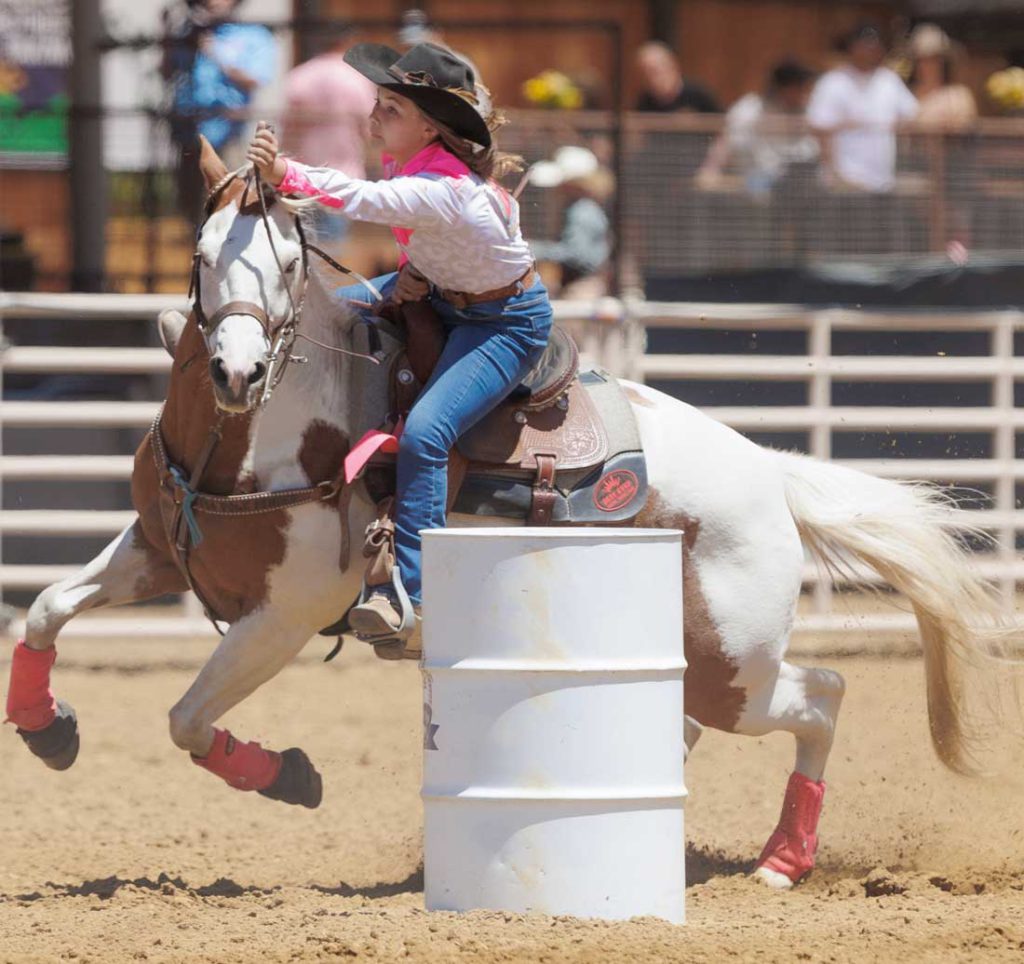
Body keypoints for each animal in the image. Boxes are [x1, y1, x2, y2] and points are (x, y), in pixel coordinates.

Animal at [6, 139, 1015, 893]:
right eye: (201, 254)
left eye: (289, 262)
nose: (238, 373)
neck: (253, 441)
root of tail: (767, 471)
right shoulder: (159, 551)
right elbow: (47, 609)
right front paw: (48, 728)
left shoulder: (283, 616)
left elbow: (185, 719)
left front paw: (288, 775)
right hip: (694, 662)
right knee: (699, 721)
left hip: (735, 663)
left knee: (822, 696)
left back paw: (781, 861)